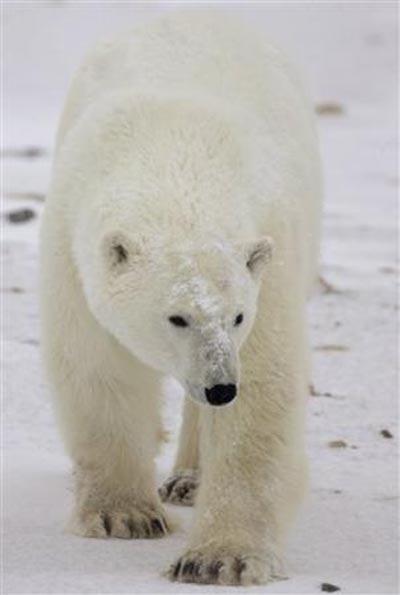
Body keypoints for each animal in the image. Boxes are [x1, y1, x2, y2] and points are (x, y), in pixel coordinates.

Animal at [39, 8, 322, 588]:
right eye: (176, 317)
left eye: (238, 316)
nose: (220, 386)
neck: (177, 157)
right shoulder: (73, 244)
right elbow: (97, 365)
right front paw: (123, 515)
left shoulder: (271, 251)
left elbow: (263, 389)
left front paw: (218, 558)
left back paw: (189, 477)